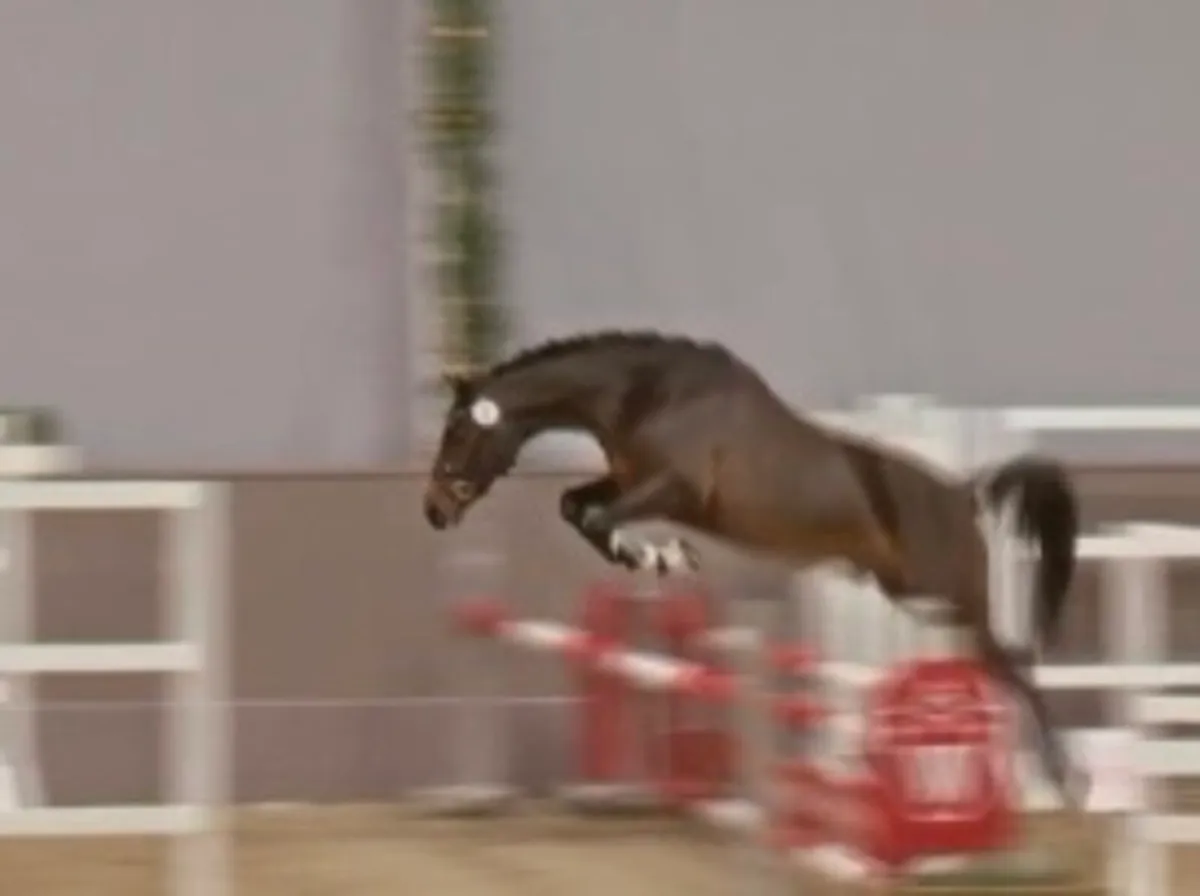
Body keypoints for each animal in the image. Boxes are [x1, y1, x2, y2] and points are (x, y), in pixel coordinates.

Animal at [422, 330, 1084, 808]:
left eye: (456, 432)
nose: (435, 510)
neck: (647, 392)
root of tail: (964, 493)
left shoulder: (674, 488)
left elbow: (595, 516)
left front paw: (664, 556)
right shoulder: (631, 480)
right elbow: (575, 507)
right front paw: (653, 557)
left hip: (948, 592)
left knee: (1014, 663)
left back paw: (1065, 781)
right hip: (915, 593)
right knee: (998, 665)